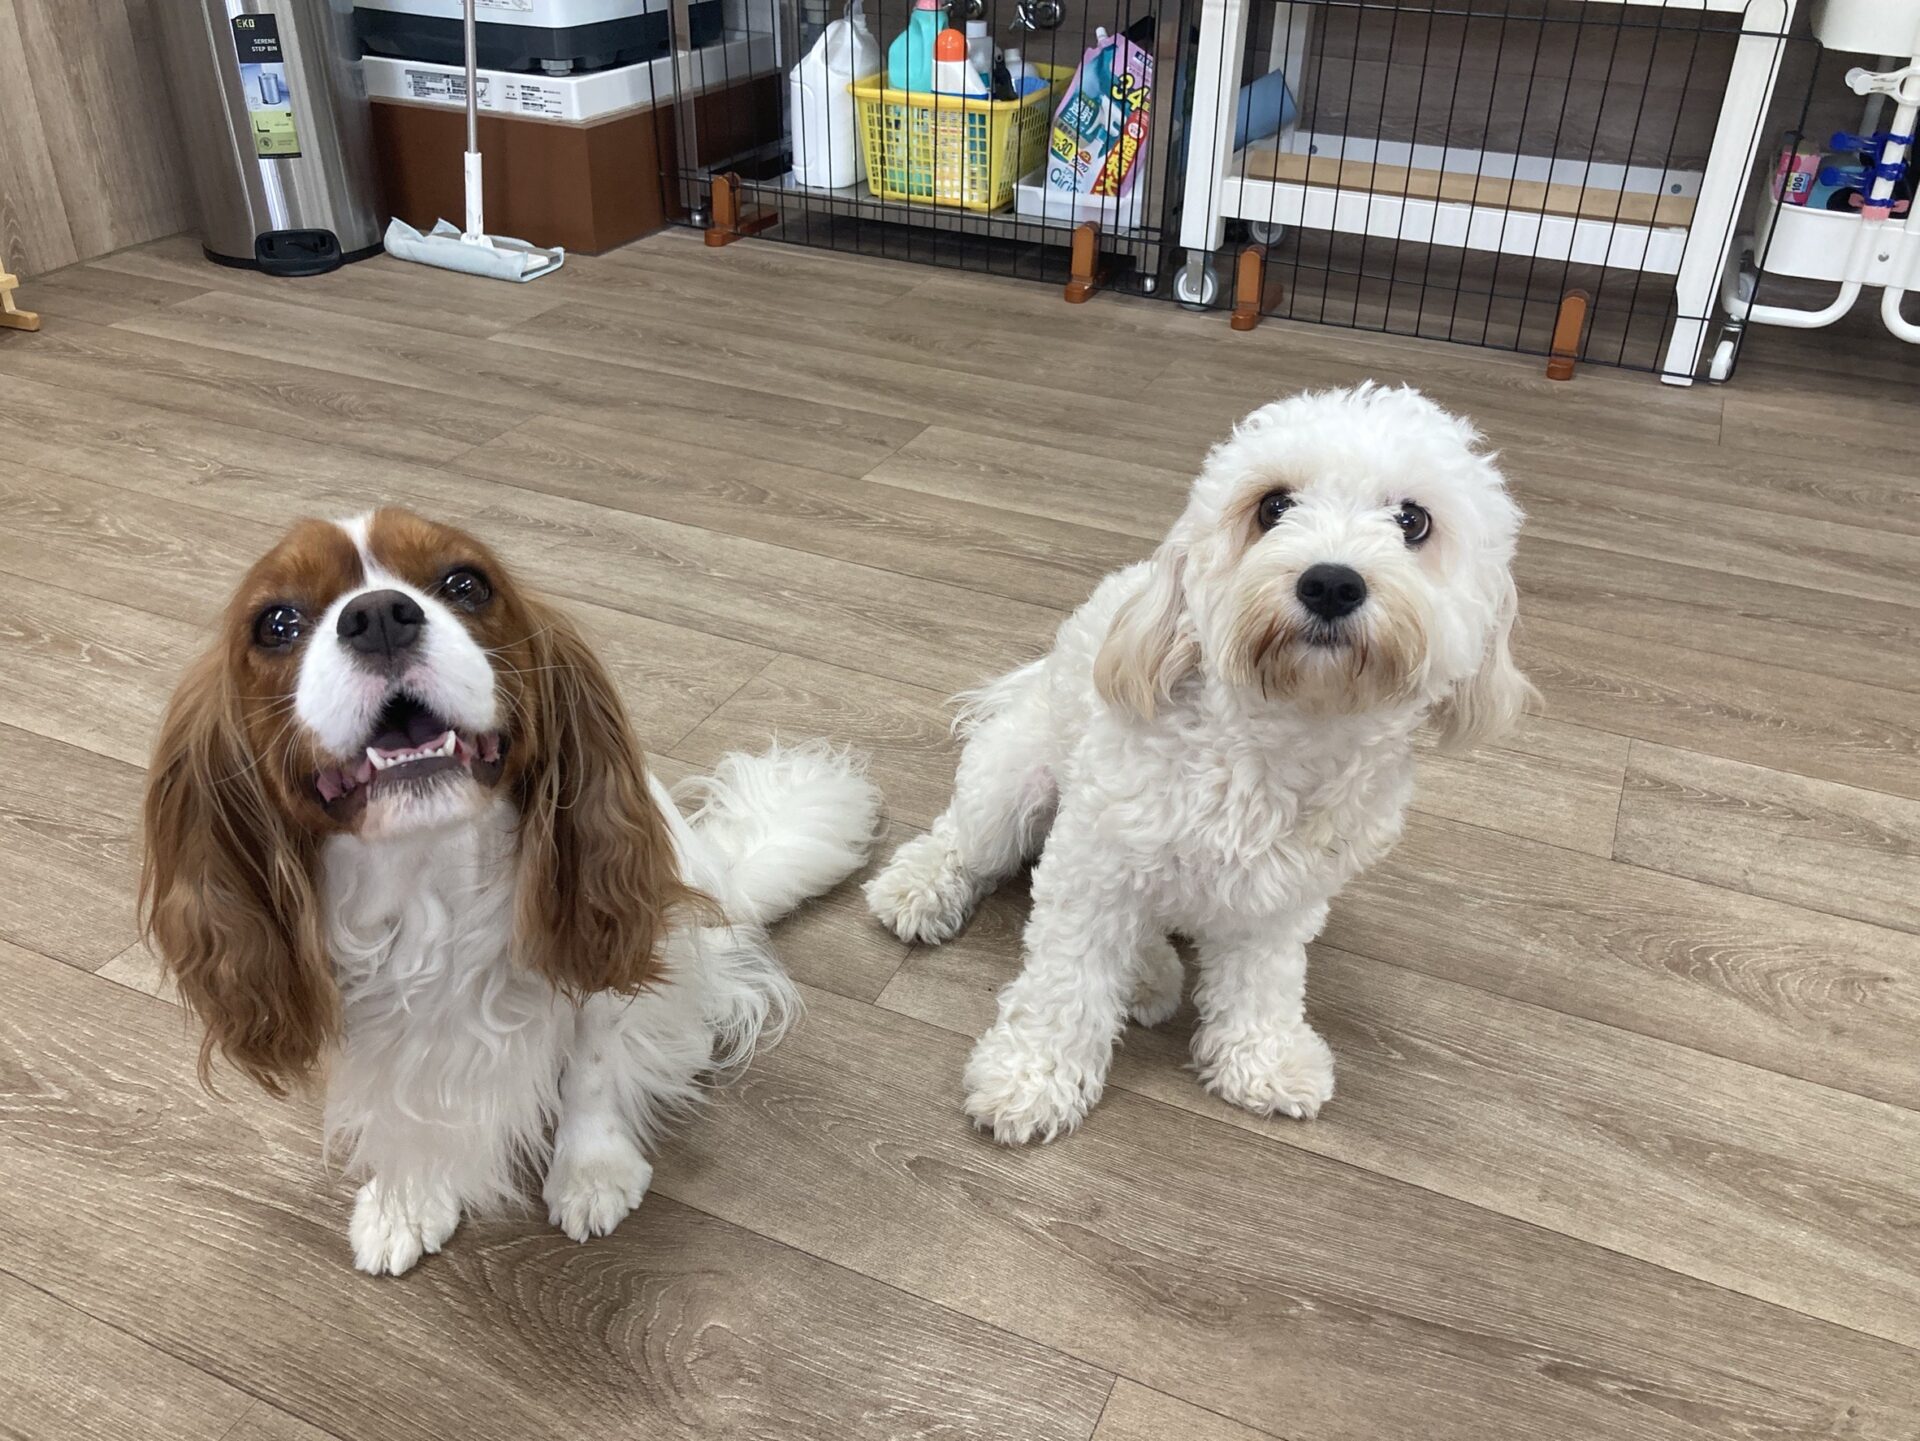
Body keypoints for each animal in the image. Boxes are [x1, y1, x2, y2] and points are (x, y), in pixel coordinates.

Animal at [141, 508, 878, 1274]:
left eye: (466, 583)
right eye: (277, 623)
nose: (379, 616)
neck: (429, 873)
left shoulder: (598, 953)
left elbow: (592, 1065)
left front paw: (591, 1171)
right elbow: (401, 1108)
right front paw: (407, 1197)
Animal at [867, 385, 1534, 1143]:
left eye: (1413, 521)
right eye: (1273, 506)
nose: (1331, 583)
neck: (1275, 741)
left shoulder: (1282, 899)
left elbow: (1265, 981)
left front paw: (1263, 1058)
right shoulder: (1094, 867)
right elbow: (1066, 981)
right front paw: (1032, 1077)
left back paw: (1147, 972)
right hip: (1014, 785)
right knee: (962, 839)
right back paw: (922, 888)